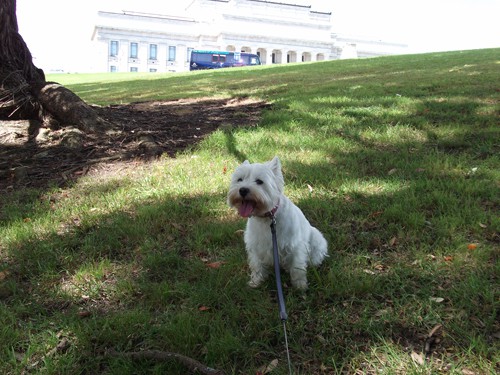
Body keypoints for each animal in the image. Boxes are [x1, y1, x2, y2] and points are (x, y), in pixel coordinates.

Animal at [228, 156, 328, 290]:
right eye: (240, 179)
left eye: (259, 181)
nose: (243, 190)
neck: (267, 218)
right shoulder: (256, 246)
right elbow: (257, 265)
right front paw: (256, 282)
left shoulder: (295, 246)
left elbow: (297, 268)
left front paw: (300, 286)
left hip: (317, 239)